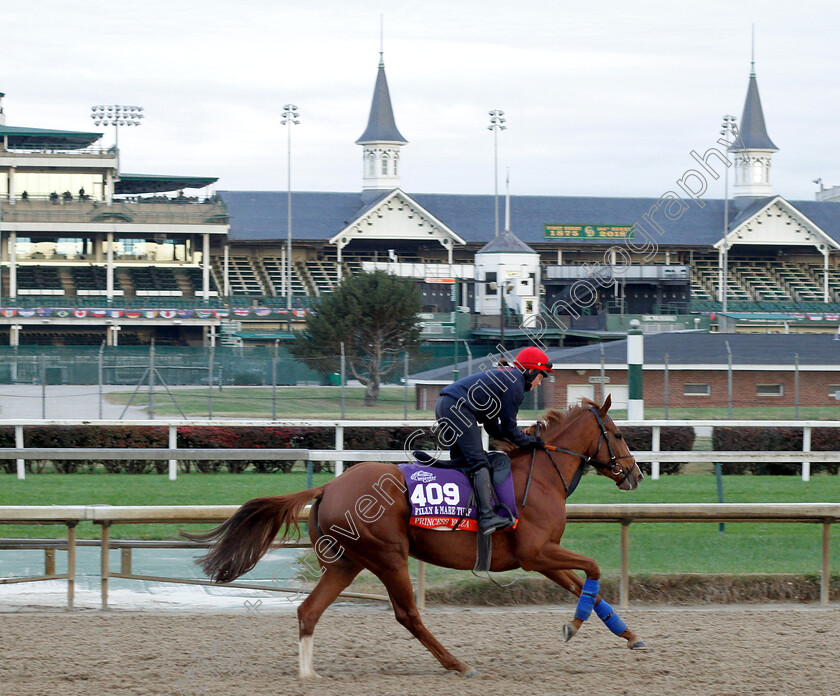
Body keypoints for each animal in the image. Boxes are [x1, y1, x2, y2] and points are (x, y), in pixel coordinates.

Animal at [185, 396, 644, 680]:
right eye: (619, 435)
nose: (636, 474)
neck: (542, 474)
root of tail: (329, 486)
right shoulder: (537, 553)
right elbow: (593, 570)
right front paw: (574, 625)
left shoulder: (541, 558)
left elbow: (588, 588)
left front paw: (630, 636)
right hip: (388, 556)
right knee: (408, 615)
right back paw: (458, 664)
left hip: (348, 562)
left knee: (308, 610)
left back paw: (307, 672)